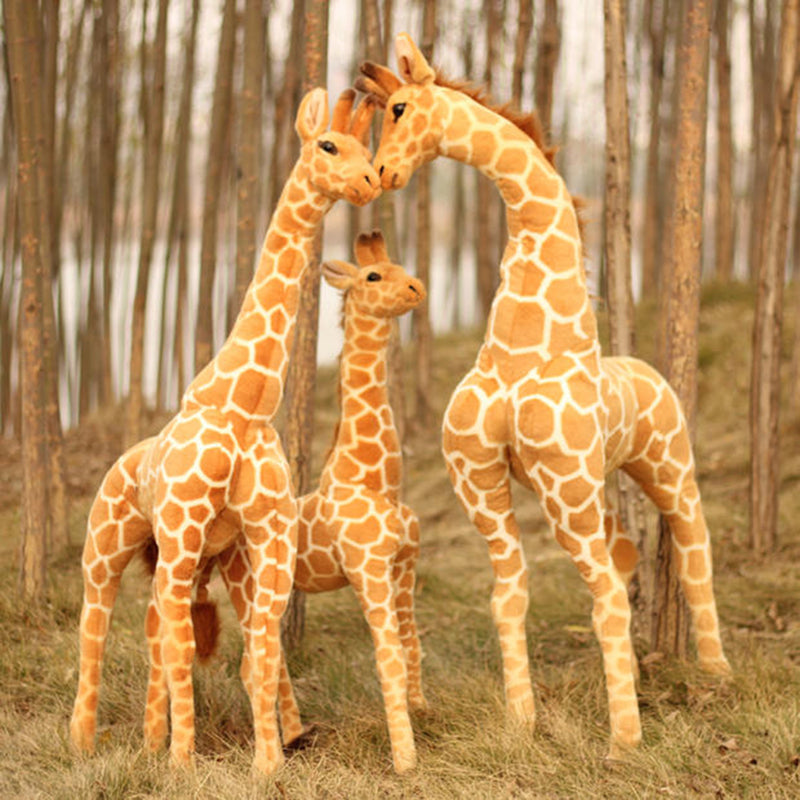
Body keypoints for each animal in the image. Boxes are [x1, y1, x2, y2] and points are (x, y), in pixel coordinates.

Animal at [69, 88, 381, 775]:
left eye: (366, 147)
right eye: (328, 145)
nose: (373, 180)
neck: (244, 404)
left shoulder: (269, 533)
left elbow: (258, 651)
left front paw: (268, 762)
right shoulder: (183, 527)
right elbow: (188, 649)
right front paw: (184, 764)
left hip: (209, 558)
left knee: (158, 630)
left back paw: (150, 740)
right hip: (109, 546)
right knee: (96, 627)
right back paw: (86, 742)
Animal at [181, 231, 427, 773]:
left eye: (402, 268)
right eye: (373, 276)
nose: (418, 289)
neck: (376, 478)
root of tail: (221, 532)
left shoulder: (404, 565)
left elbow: (411, 643)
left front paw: (424, 714)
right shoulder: (368, 570)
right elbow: (388, 658)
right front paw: (405, 760)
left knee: (267, 658)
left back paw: (294, 735)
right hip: (245, 584)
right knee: (253, 660)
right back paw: (277, 746)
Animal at [357, 35, 731, 760]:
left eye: (398, 106)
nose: (382, 173)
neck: (523, 345)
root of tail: (651, 372)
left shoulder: (561, 481)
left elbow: (605, 598)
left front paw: (624, 743)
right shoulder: (480, 479)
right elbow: (509, 596)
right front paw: (520, 724)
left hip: (665, 470)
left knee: (690, 546)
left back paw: (715, 670)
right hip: (595, 489)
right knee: (625, 556)